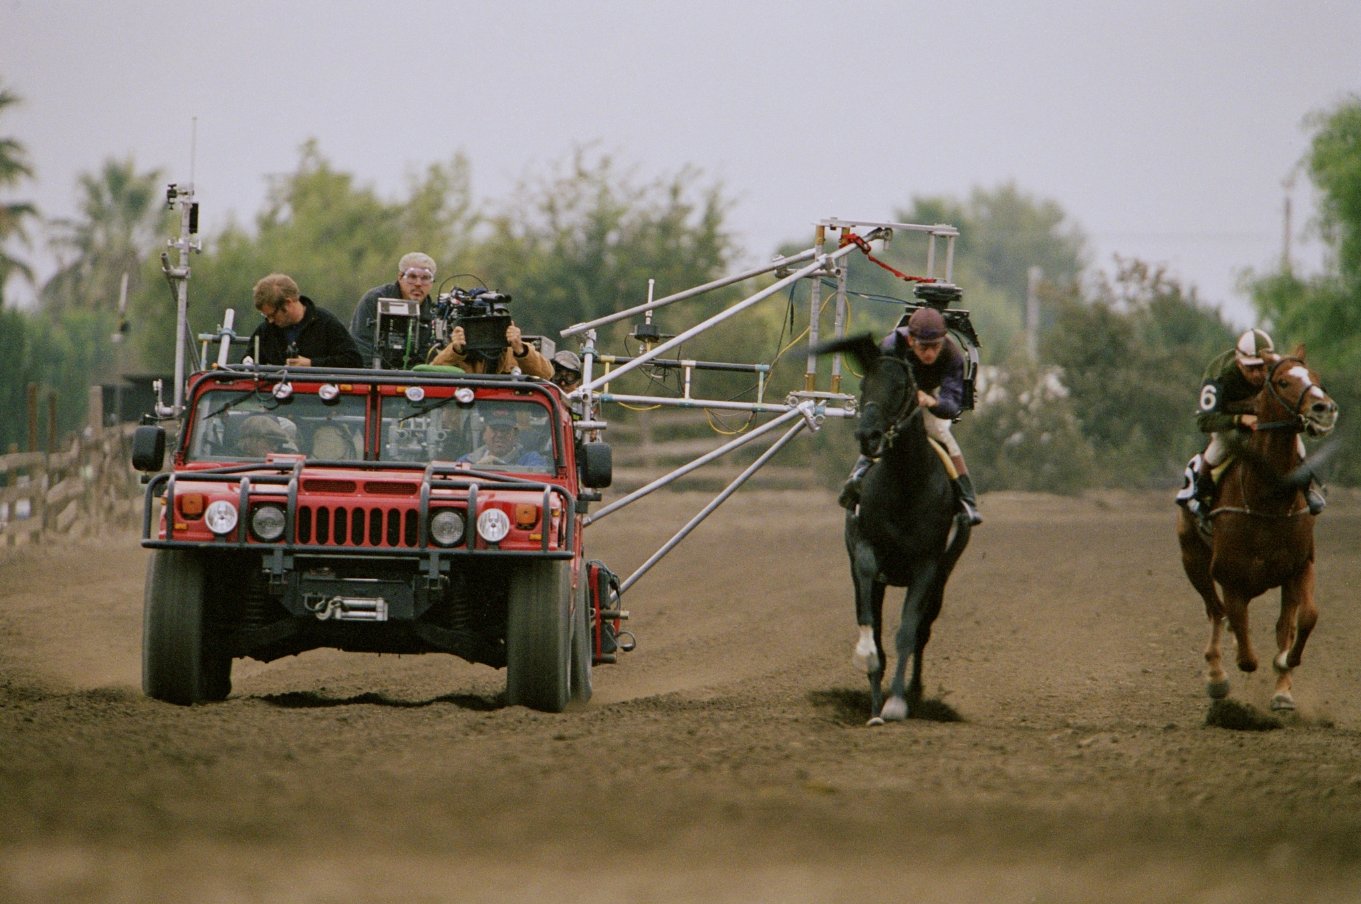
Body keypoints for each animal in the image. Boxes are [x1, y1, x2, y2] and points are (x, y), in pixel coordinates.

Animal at [816, 334, 969, 724]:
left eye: (901, 387)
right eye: (863, 385)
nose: (868, 435)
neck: (905, 484)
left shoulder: (928, 564)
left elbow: (907, 632)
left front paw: (898, 702)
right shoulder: (864, 550)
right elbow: (871, 622)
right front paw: (872, 691)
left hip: (943, 576)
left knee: (923, 630)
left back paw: (914, 692)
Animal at [1181, 348, 1339, 707]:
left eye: (1316, 378)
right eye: (1283, 382)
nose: (1324, 410)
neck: (1269, 496)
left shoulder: (1300, 566)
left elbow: (1303, 619)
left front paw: (1284, 676)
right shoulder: (1228, 575)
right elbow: (1243, 641)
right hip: (1193, 562)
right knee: (1215, 611)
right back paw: (1217, 677)